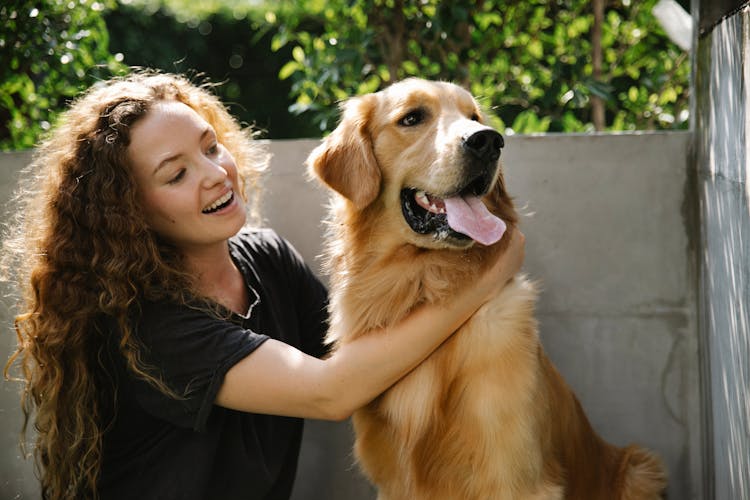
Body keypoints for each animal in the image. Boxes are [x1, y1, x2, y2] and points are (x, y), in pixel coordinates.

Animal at [306, 79, 668, 500]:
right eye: (411, 118)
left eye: (474, 117)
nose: (488, 142)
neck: (423, 281)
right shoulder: (394, 483)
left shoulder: (517, 478)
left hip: (640, 470)